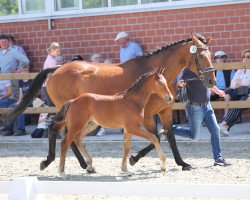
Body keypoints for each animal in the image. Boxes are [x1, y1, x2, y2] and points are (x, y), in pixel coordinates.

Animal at [40, 67, 174, 178]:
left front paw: (125, 169)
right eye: (159, 83)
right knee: (65, 143)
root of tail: (72, 101)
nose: (170, 98)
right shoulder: (133, 128)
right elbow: (154, 138)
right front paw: (163, 167)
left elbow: (126, 147)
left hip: (91, 125)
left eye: (166, 82)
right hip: (77, 125)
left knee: (78, 139)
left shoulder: (127, 129)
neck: (132, 101)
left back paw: (89, 165)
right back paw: (62, 171)